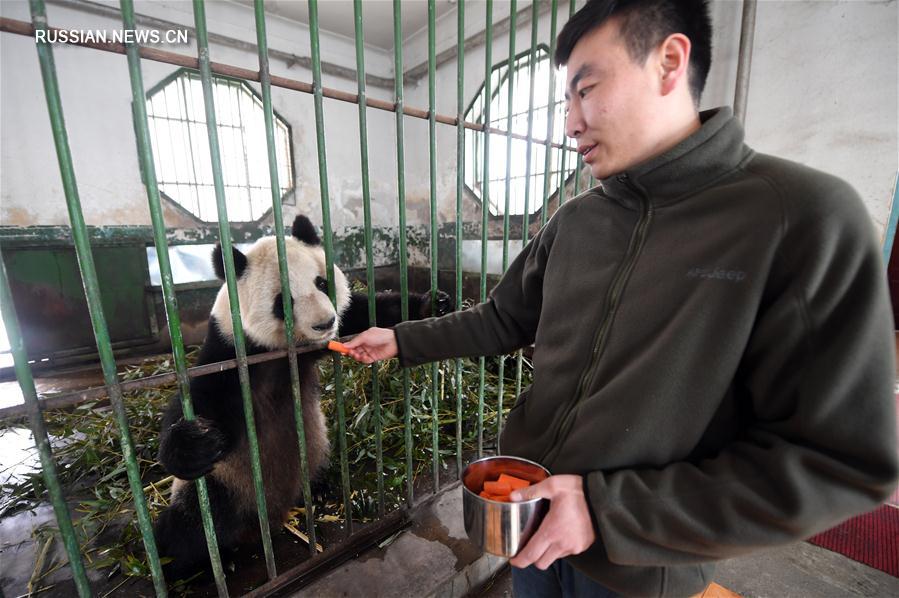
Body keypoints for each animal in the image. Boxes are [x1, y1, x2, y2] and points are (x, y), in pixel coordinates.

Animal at [155, 214, 454, 580]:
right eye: (283, 301)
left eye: (322, 282)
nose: (325, 323)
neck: (283, 350)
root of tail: (273, 515)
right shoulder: (231, 351)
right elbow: (202, 397)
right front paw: (190, 444)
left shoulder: (338, 326)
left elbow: (368, 311)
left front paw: (434, 304)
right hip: (227, 481)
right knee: (195, 521)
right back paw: (196, 560)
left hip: (314, 452)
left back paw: (326, 490)